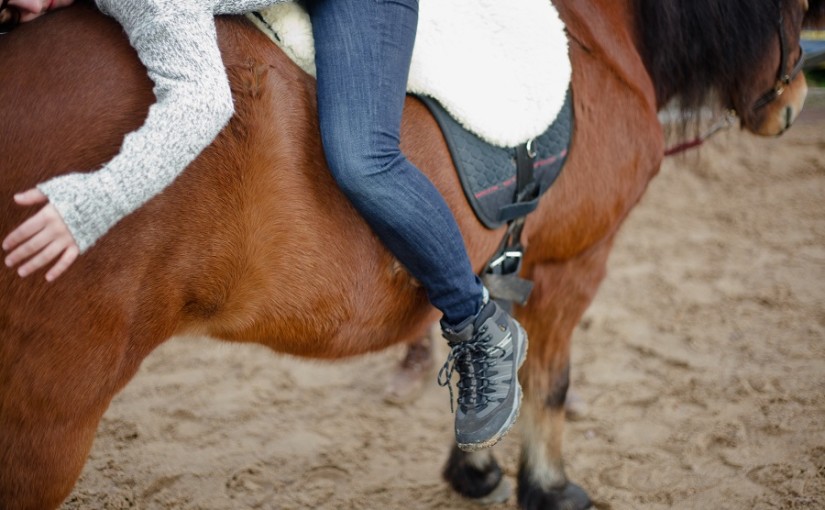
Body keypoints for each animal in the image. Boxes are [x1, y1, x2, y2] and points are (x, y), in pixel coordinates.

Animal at [1, 0, 822, 509]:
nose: (790, 106)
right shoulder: (574, 263)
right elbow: (551, 383)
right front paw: (549, 487)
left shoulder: (487, 261)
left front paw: (475, 467)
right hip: (49, 419)